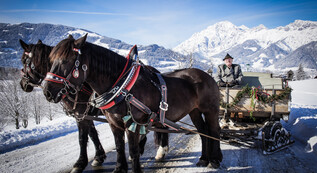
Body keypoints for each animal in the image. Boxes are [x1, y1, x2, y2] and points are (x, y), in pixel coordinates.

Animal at [19, 39, 106, 173]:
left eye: (24, 61)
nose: (22, 84)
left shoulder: (81, 114)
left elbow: (82, 138)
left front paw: (80, 163)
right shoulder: (85, 115)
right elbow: (93, 134)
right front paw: (99, 156)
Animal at [42, 34, 222, 172]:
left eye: (66, 60)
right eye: (50, 60)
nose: (47, 91)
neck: (123, 86)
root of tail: (207, 75)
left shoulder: (133, 123)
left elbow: (133, 150)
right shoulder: (113, 123)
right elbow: (119, 146)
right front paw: (119, 168)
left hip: (211, 110)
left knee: (213, 130)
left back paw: (214, 160)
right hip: (194, 111)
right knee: (202, 131)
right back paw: (203, 159)